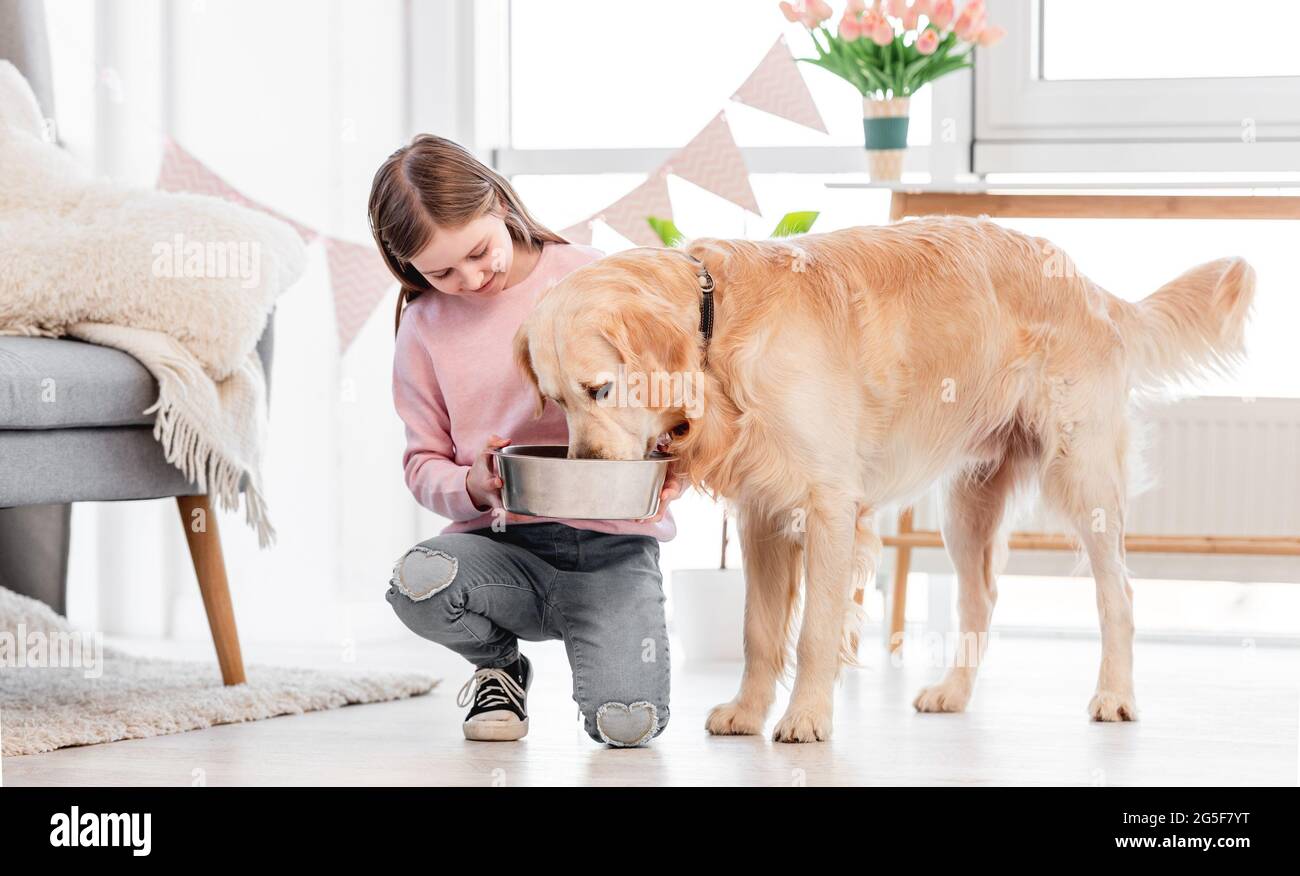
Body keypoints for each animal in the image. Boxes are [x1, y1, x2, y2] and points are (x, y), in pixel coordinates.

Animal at [512, 217, 1253, 738]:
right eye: (555, 401)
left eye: (600, 389)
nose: (586, 472)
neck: (719, 327)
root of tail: (1089, 285)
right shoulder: (761, 513)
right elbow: (758, 630)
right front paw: (746, 713)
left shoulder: (829, 503)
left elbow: (814, 631)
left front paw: (806, 719)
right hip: (968, 502)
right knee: (981, 597)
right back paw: (953, 692)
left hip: (1083, 473)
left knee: (1118, 592)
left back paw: (1115, 696)